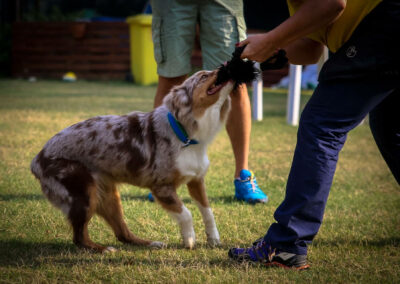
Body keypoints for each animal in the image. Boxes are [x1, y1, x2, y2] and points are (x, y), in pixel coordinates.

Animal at [31, 69, 238, 253]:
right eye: (204, 76)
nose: (225, 65)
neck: (185, 133)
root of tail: (37, 159)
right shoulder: (161, 187)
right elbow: (186, 213)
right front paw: (189, 239)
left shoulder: (196, 179)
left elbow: (208, 211)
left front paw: (213, 238)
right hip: (84, 194)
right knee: (79, 237)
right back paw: (103, 250)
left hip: (108, 195)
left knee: (122, 233)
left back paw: (150, 244)